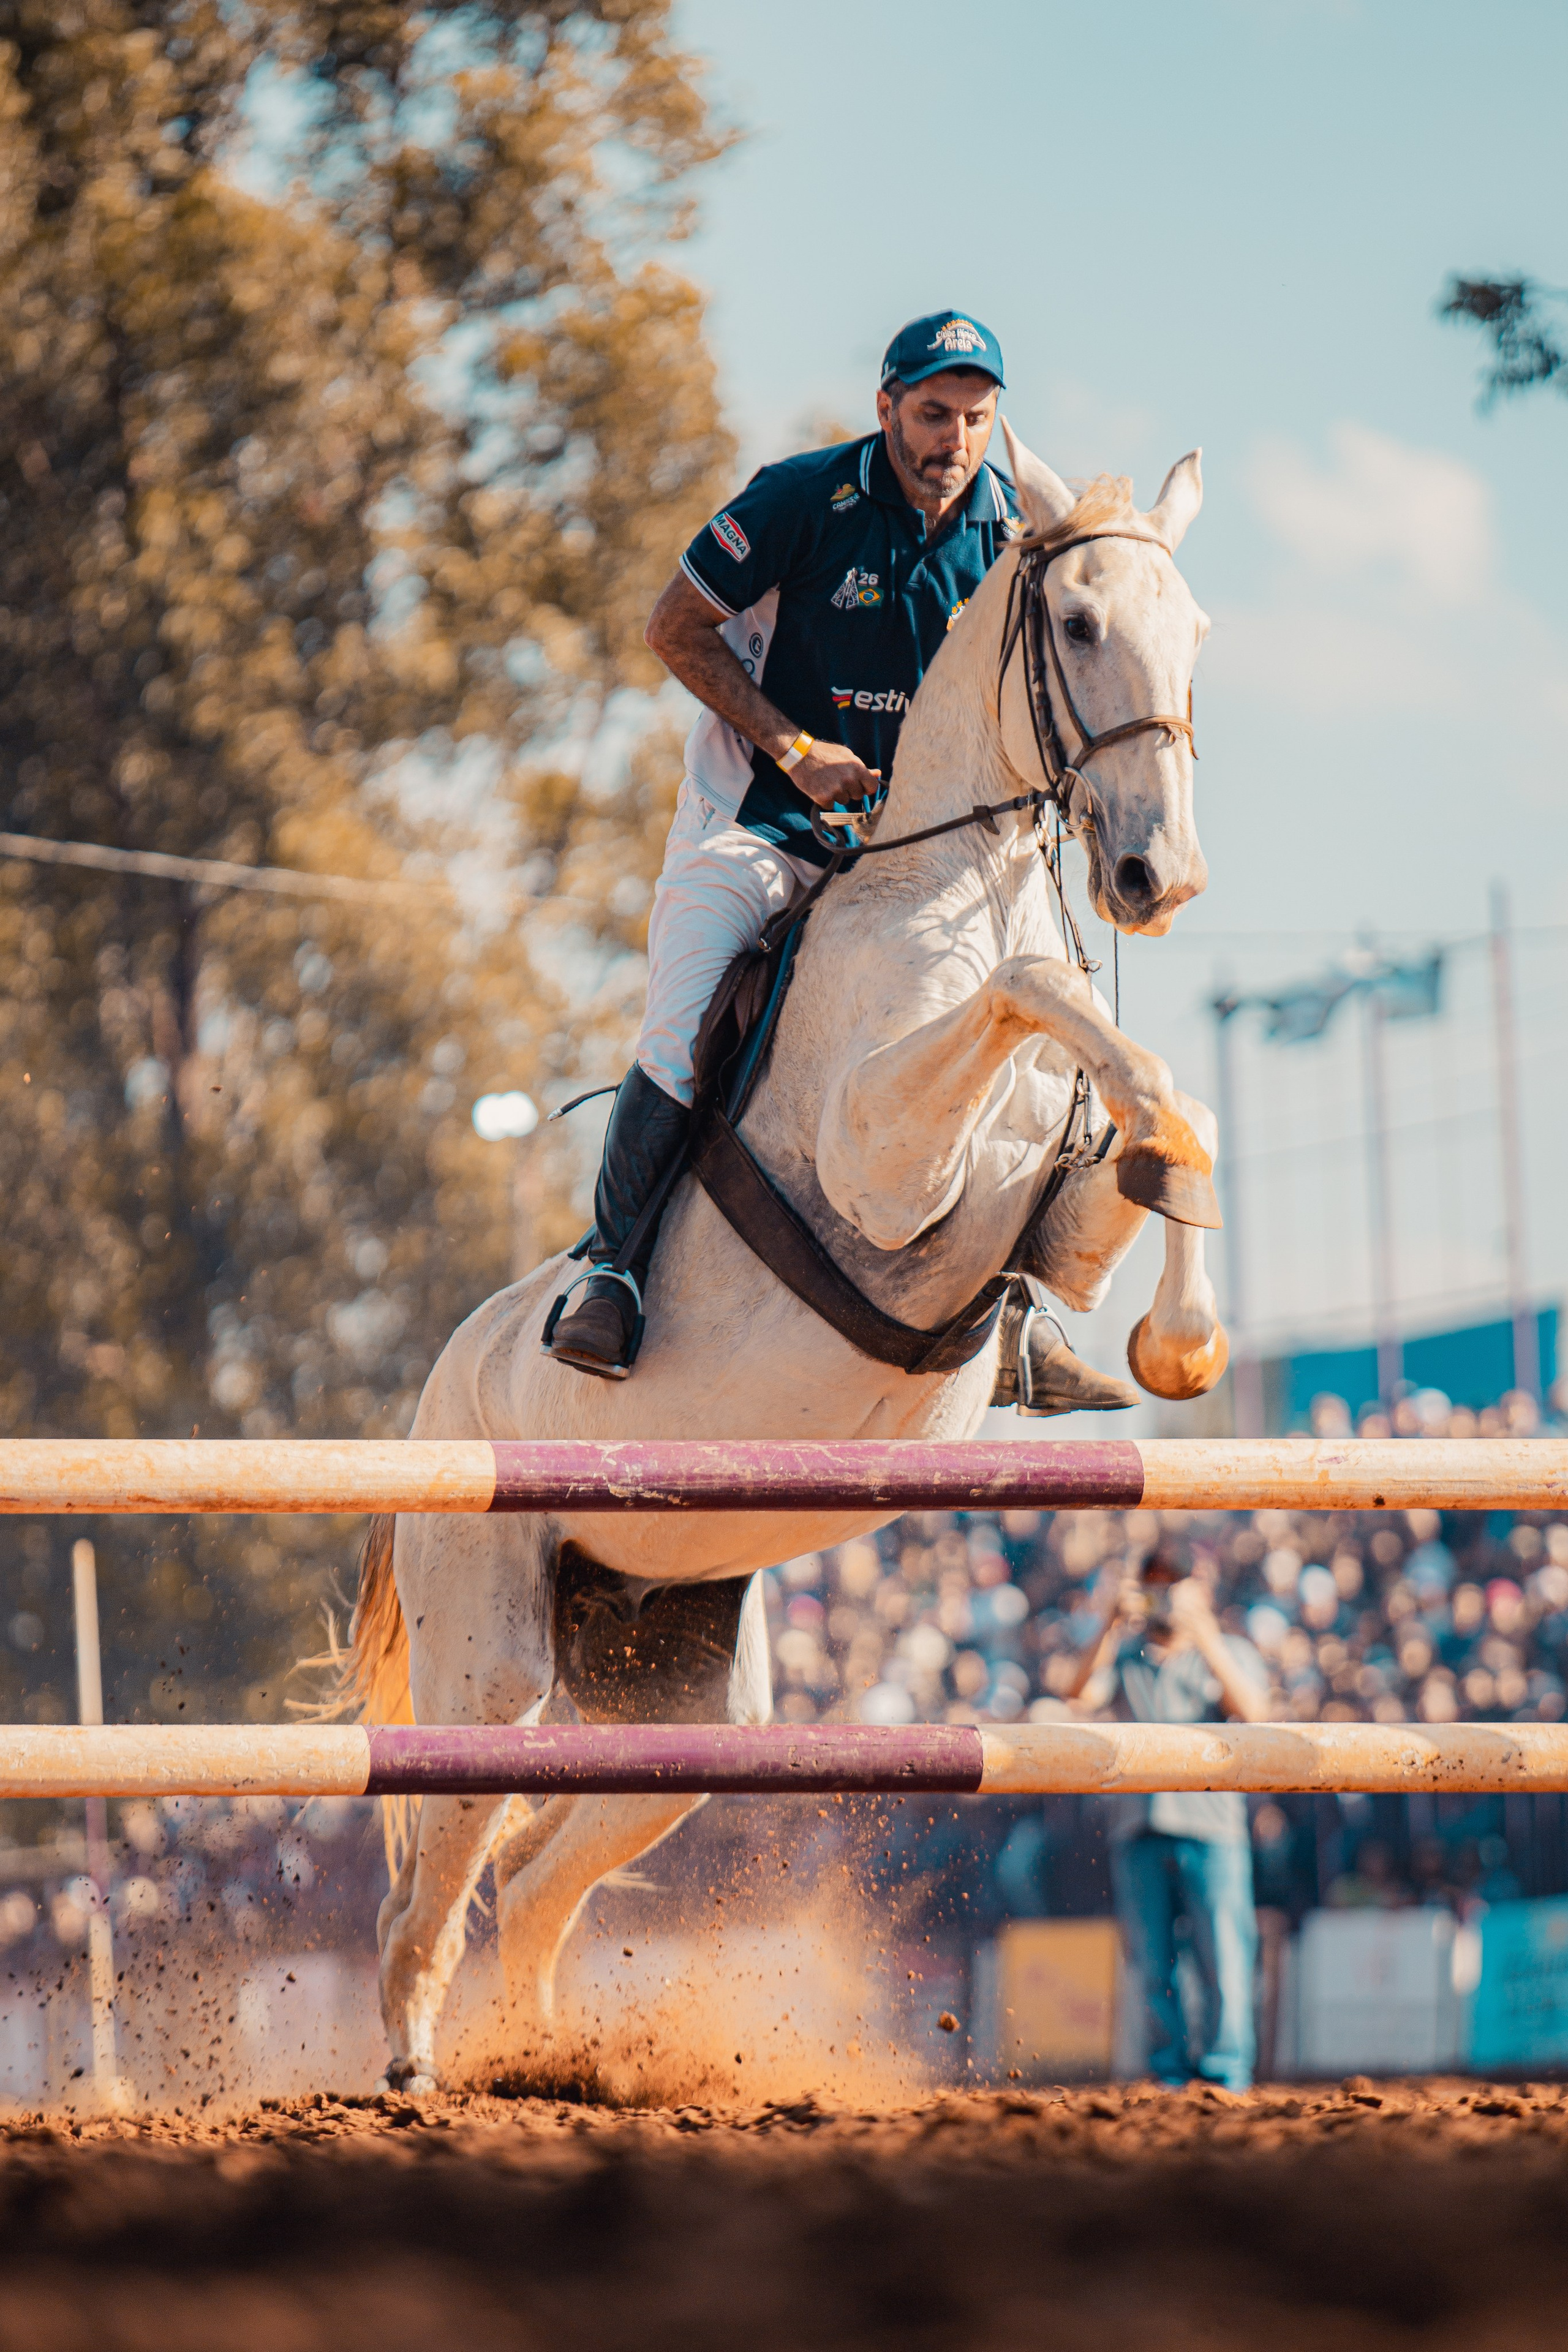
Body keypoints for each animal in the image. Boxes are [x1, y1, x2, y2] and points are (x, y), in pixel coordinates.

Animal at [352, 423, 1229, 2091]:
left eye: (1195, 634)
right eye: (1078, 623)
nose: (1161, 880)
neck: (946, 890)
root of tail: (427, 1403)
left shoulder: (1049, 1222)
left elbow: (1149, 1122)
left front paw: (1174, 1325)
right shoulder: (888, 1168)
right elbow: (1033, 991)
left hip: (681, 1697)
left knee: (537, 1869)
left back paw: (554, 2063)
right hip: (491, 1654)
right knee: (440, 1856)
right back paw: (419, 2066)